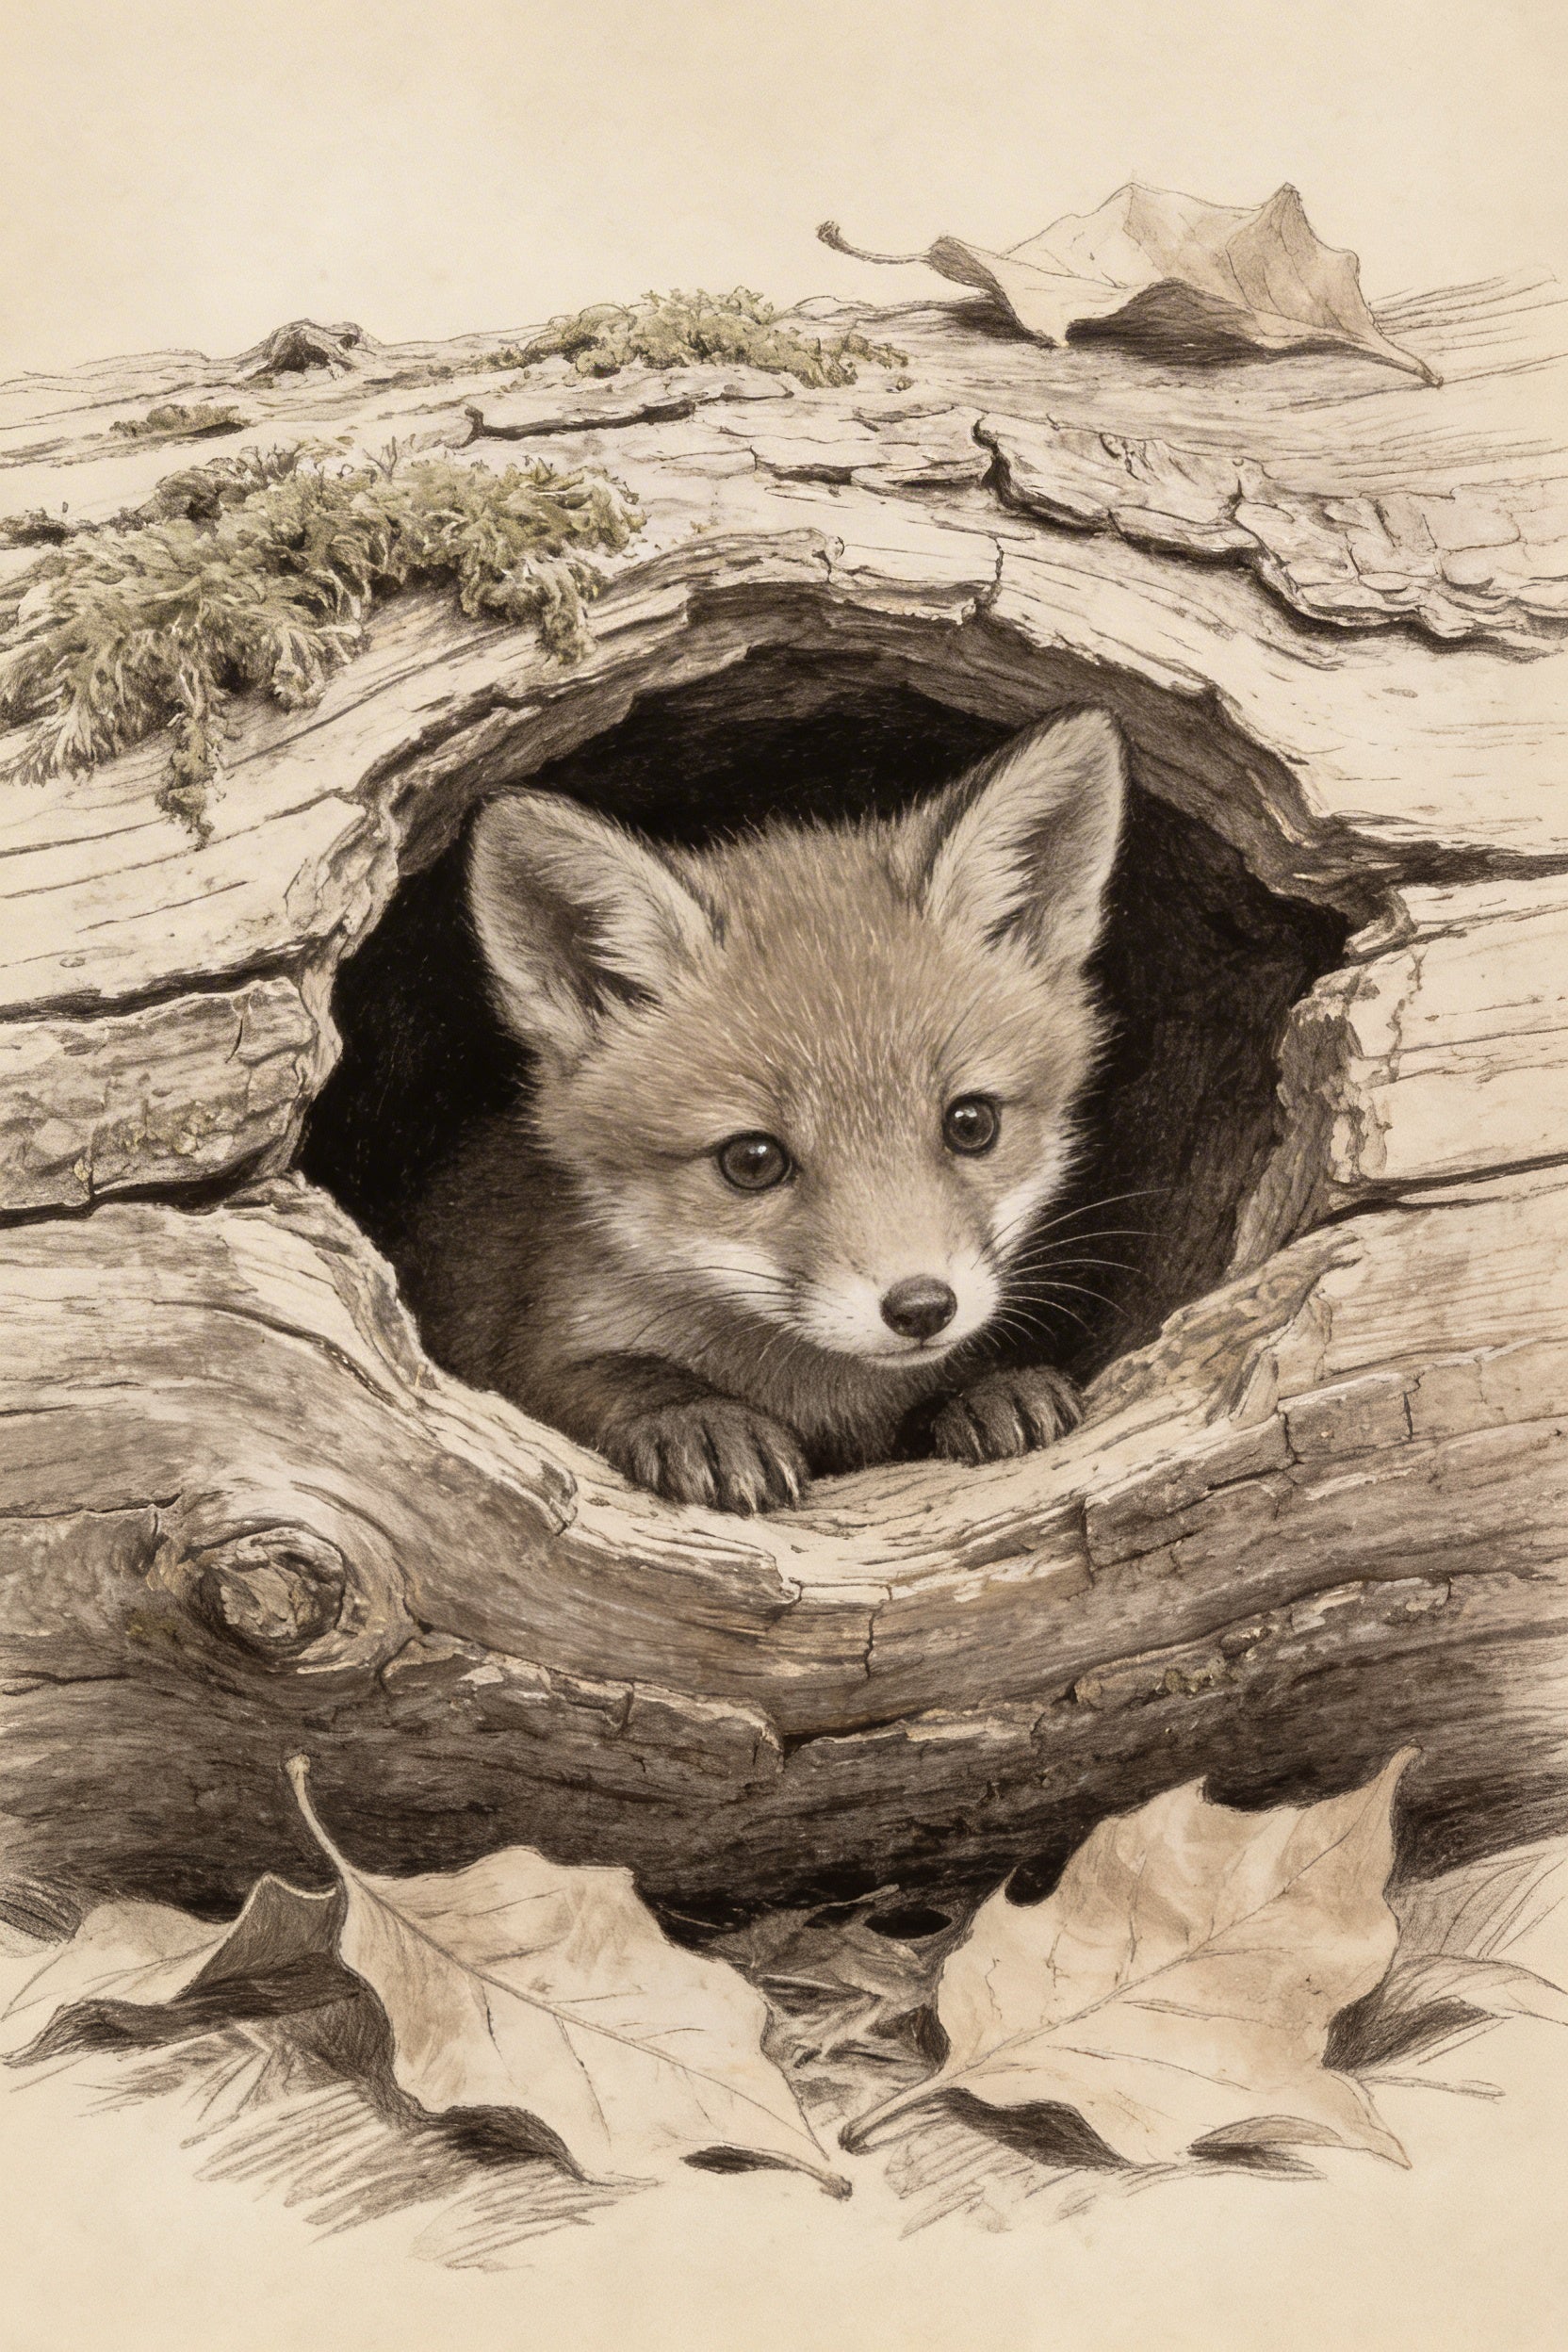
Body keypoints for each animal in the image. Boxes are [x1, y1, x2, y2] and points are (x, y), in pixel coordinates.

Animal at [399, 706, 1126, 1513]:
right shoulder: (532, 1338)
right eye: (752, 1161)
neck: (813, 1388)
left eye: (971, 1123)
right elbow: (606, 1376)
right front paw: (701, 1418)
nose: (921, 1307)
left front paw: (985, 1389)